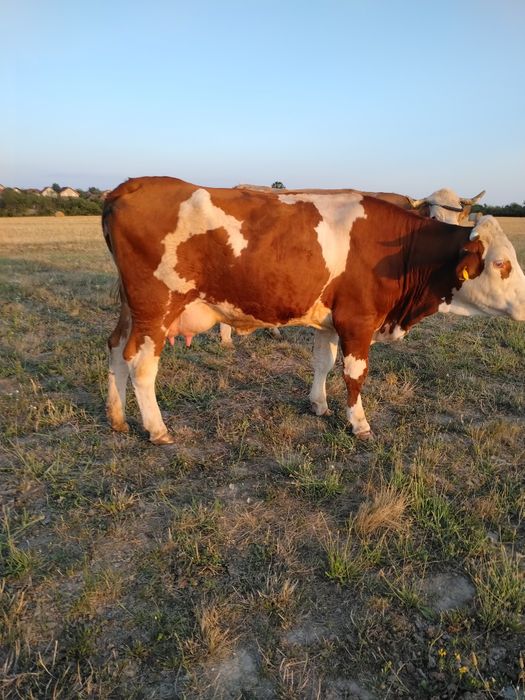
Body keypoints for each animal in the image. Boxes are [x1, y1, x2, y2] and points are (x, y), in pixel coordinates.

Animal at [102, 177, 525, 444]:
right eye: (501, 264)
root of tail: (132, 185)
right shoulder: (358, 321)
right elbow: (354, 375)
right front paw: (359, 424)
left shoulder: (330, 321)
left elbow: (323, 361)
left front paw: (319, 405)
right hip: (156, 309)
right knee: (142, 365)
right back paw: (157, 429)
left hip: (131, 309)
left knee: (116, 349)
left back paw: (117, 418)